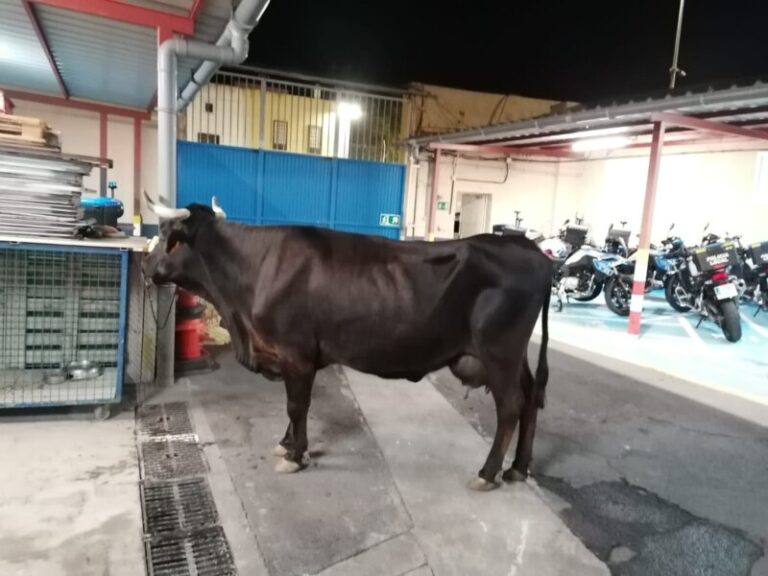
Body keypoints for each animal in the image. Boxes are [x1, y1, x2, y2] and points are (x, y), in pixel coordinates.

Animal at [142, 194, 552, 491]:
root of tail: (531, 251)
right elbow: (294, 409)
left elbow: (296, 406)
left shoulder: (296, 352)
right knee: (531, 398)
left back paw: (488, 472)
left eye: (165, 234)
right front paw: (288, 444)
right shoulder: (292, 357)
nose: (145, 266)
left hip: (499, 353)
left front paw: (294, 456)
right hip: (516, 356)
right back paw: (518, 468)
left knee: (510, 406)